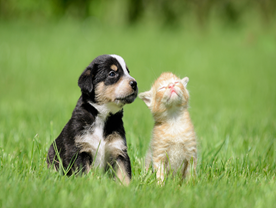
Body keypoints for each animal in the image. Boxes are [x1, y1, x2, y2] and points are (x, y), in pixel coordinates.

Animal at [48, 54, 138, 184]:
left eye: (128, 72)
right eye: (112, 73)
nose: (134, 83)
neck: (102, 116)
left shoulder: (119, 150)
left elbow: (124, 174)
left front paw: (126, 187)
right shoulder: (80, 151)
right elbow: (84, 173)